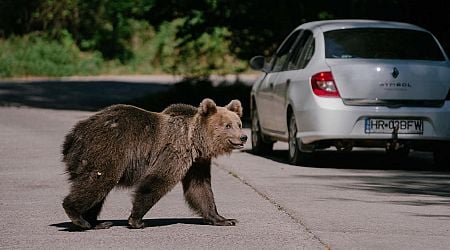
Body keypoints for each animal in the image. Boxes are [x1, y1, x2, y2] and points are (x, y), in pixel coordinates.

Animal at [60, 98, 246, 230]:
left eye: (239, 123)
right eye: (227, 125)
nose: (243, 137)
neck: (194, 141)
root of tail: (73, 135)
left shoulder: (197, 163)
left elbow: (199, 188)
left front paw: (224, 219)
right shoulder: (174, 151)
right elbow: (158, 180)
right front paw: (136, 220)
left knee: (98, 189)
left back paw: (96, 222)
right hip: (107, 148)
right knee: (99, 181)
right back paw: (79, 217)